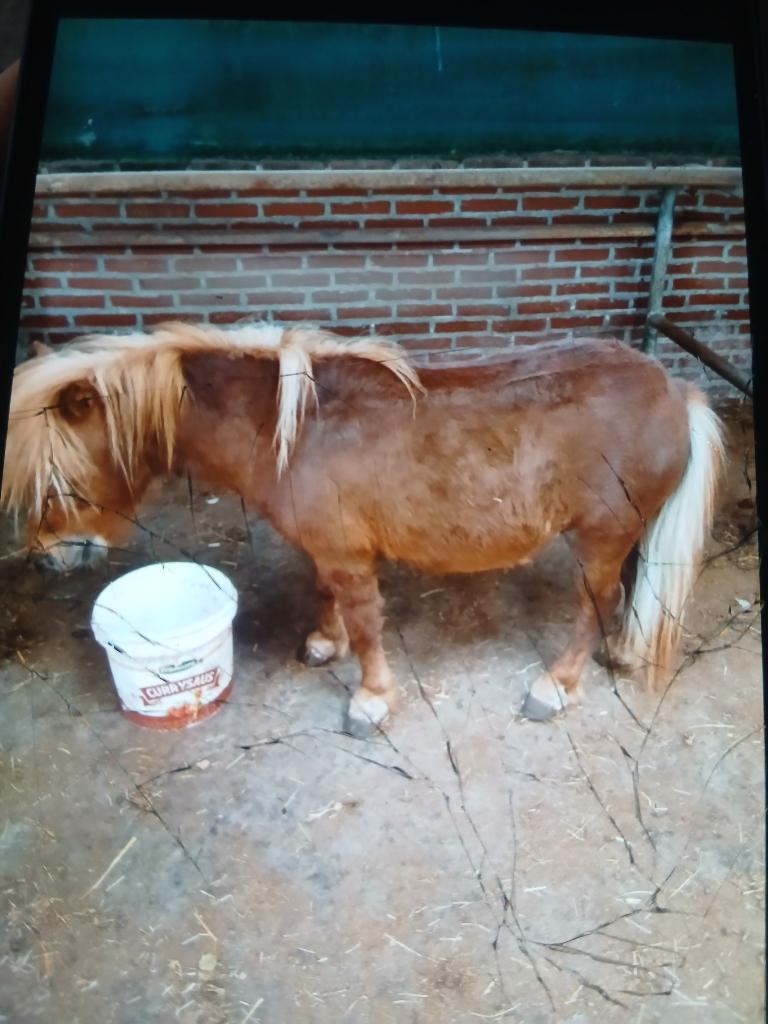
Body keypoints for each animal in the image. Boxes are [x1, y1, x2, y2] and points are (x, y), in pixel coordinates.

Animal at [1, 322, 724, 736]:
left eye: (56, 481)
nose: (48, 558)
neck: (293, 428)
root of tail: (673, 389)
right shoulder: (328, 549)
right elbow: (327, 595)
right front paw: (327, 642)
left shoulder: (350, 555)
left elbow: (368, 621)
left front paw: (371, 699)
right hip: (628, 530)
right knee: (631, 586)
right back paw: (623, 649)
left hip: (600, 534)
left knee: (595, 601)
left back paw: (557, 684)